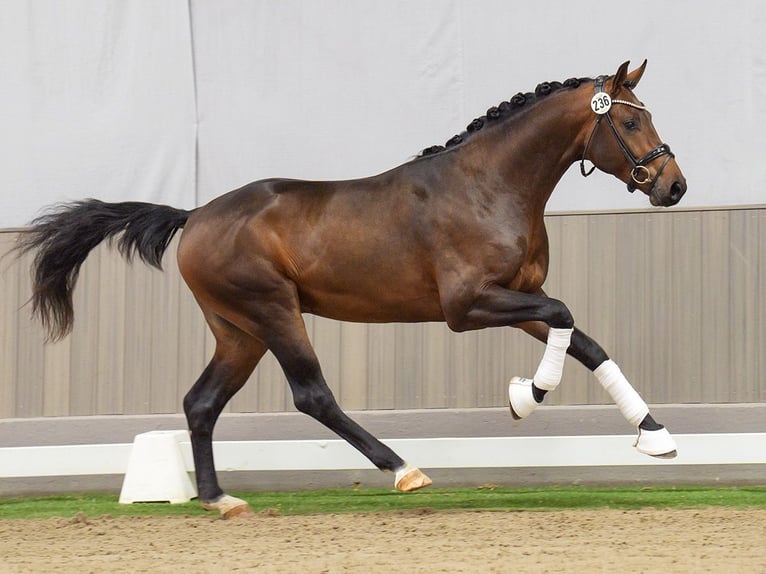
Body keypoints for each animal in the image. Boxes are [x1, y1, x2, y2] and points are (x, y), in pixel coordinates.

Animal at [18, 60, 688, 520]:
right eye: (630, 118)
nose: (673, 186)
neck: (488, 184)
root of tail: (195, 215)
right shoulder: (468, 305)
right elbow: (566, 316)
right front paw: (526, 396)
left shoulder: (514, 297)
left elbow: (584, 340)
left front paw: (654, 436)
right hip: (274, 312)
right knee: (312, 395)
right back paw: (403, 470)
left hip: (239, 332)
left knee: (201, 402)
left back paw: (219, 499)